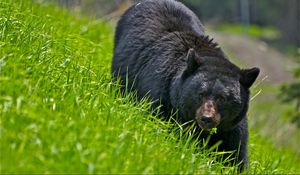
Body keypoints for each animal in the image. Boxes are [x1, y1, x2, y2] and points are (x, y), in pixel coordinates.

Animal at [111, 0, 258, 171]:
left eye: (223, 98)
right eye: (200, 94)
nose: (206, 118)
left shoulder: (232, 127)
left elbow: (235, 153)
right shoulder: (161, 96)